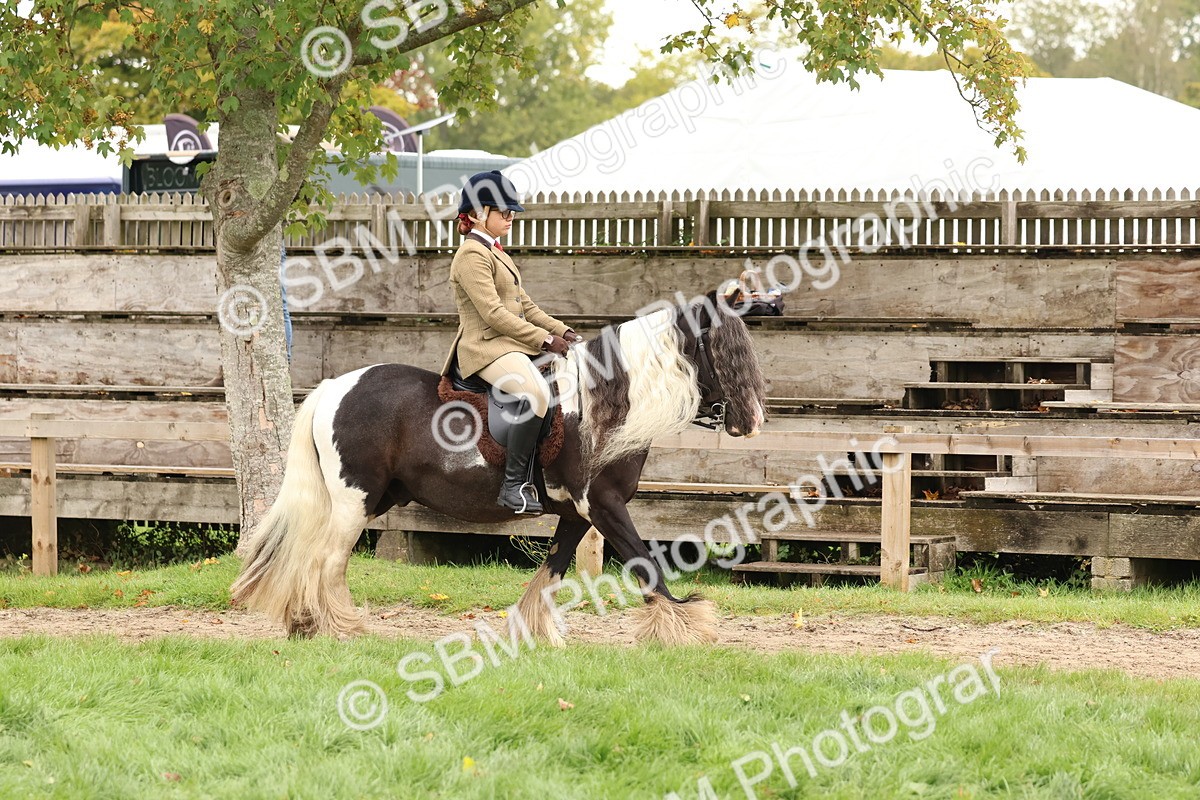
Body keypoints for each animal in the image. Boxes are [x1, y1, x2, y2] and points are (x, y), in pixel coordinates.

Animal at [230, 289, 770, 645]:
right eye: (723, 351)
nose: (751, 423)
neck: (605, 405)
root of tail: (333, 387)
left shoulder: (577, 513)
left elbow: (551, 571)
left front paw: (530, 634)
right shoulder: (604, 504)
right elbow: (645, 562)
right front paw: (687, 626)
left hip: (372, 497)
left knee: (311, 555)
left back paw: (306, 623)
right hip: (354, 499)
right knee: (326, 559)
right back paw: (337, 628)